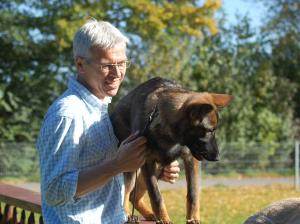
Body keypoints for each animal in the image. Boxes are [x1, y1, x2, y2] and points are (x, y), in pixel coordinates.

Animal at [110, 76, 234, 222]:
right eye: (209, 131)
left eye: (214, 130)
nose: (217, 157)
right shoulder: (147, 163)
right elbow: (156, 196)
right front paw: (164, 220)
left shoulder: (190, 159)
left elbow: (193, 193)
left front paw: (193, 219)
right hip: (132, 166)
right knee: (126, 193)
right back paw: (127, 215)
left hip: (156, 168)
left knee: (134, 196)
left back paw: (149, 215)